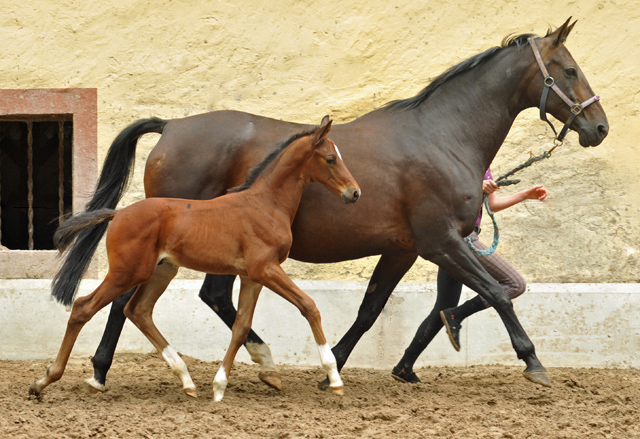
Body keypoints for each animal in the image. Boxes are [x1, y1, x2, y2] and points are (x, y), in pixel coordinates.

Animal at [30, 117, 360, 402]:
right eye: (330, 159)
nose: (354, 193)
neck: (264, 204)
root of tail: (118, 213)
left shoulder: (252, 276)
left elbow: (241, 327)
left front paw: (220, 386)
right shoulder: (265, 269)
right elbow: (309, 306)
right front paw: (334, 378)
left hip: (162, 271)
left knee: (138, 310)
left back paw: (186, 380)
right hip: (128, 272)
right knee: (84, 307)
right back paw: (44, 381)